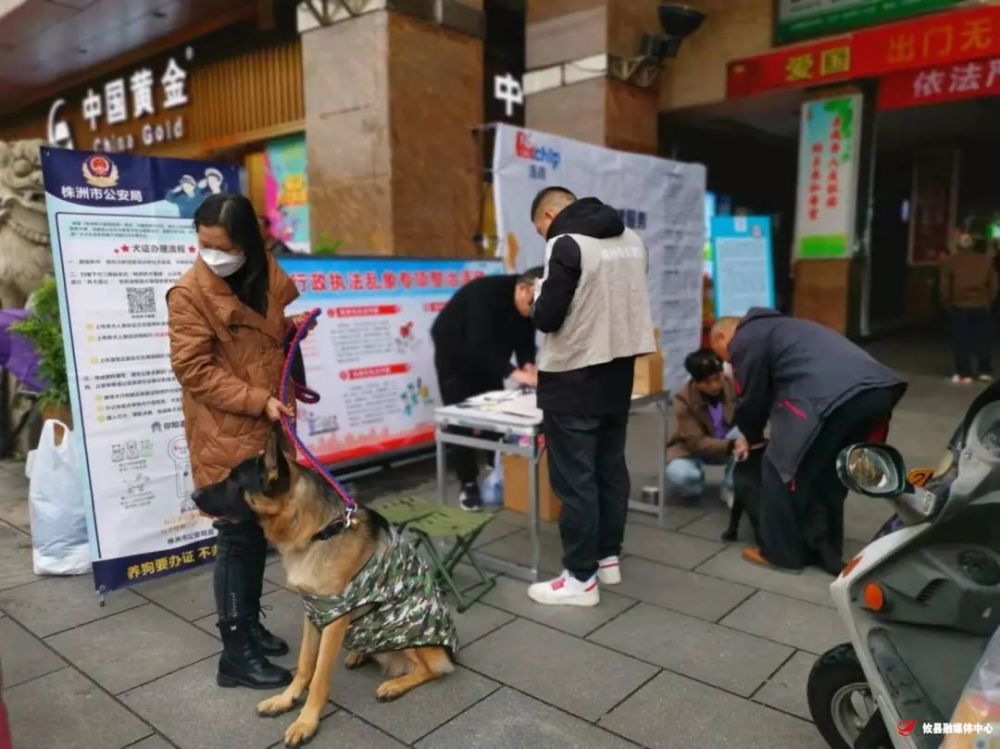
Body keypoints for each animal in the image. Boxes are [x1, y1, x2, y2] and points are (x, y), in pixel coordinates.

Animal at [192, 426, 458, 748]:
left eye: (234, 479)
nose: (192, 495)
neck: (318, 532)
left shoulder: (335, 617)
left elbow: (319, 676)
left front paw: (306, 721)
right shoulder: (313, 612)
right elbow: (305, 665)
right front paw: (286, 700)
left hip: (407, 634)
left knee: (433, 669)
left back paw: (395, 685)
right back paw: (360, 654)